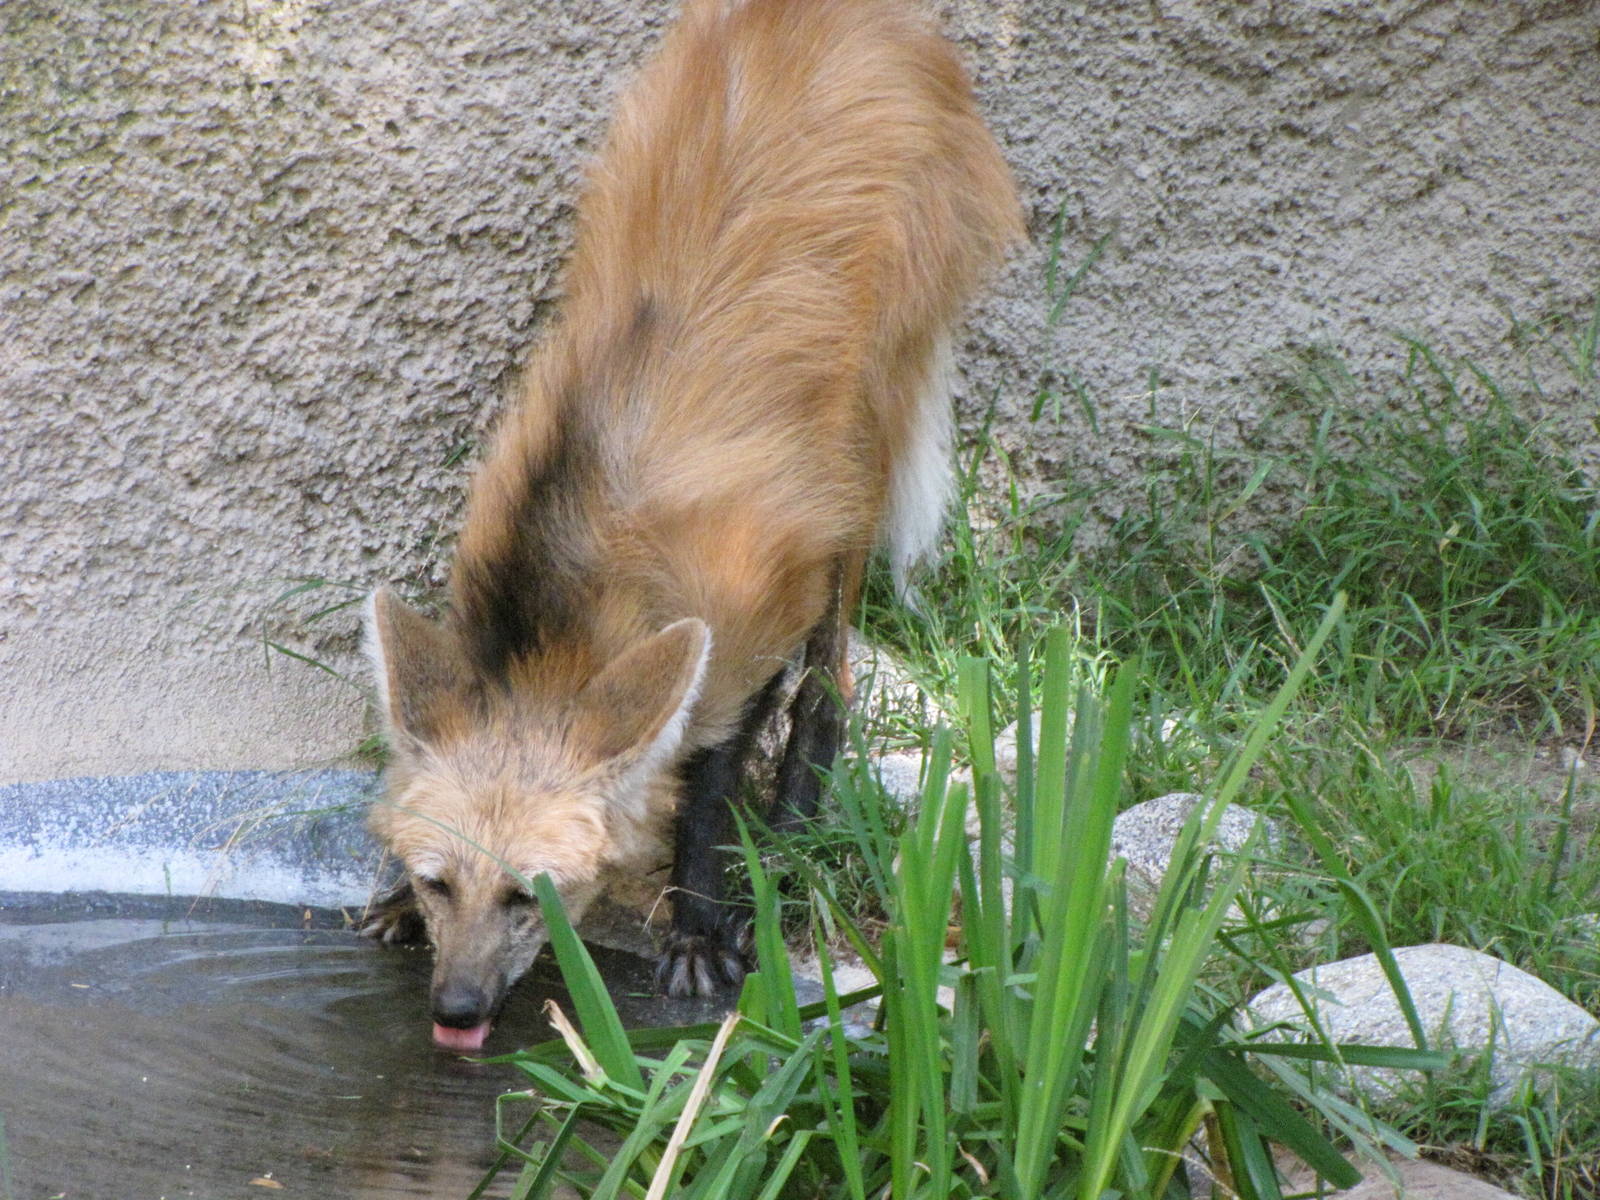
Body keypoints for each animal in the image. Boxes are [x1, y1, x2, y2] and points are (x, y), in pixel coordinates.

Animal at [363, 0, 1020, 1050]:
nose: (456, 1009)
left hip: (862, 421)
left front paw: (702, 926)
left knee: (831, 672)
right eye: (440, 886)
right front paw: (387, 903)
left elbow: (711, 768)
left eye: (529, 898)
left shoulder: (752, 593)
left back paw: (792, 834)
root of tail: (860, 15)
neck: (571, 587)